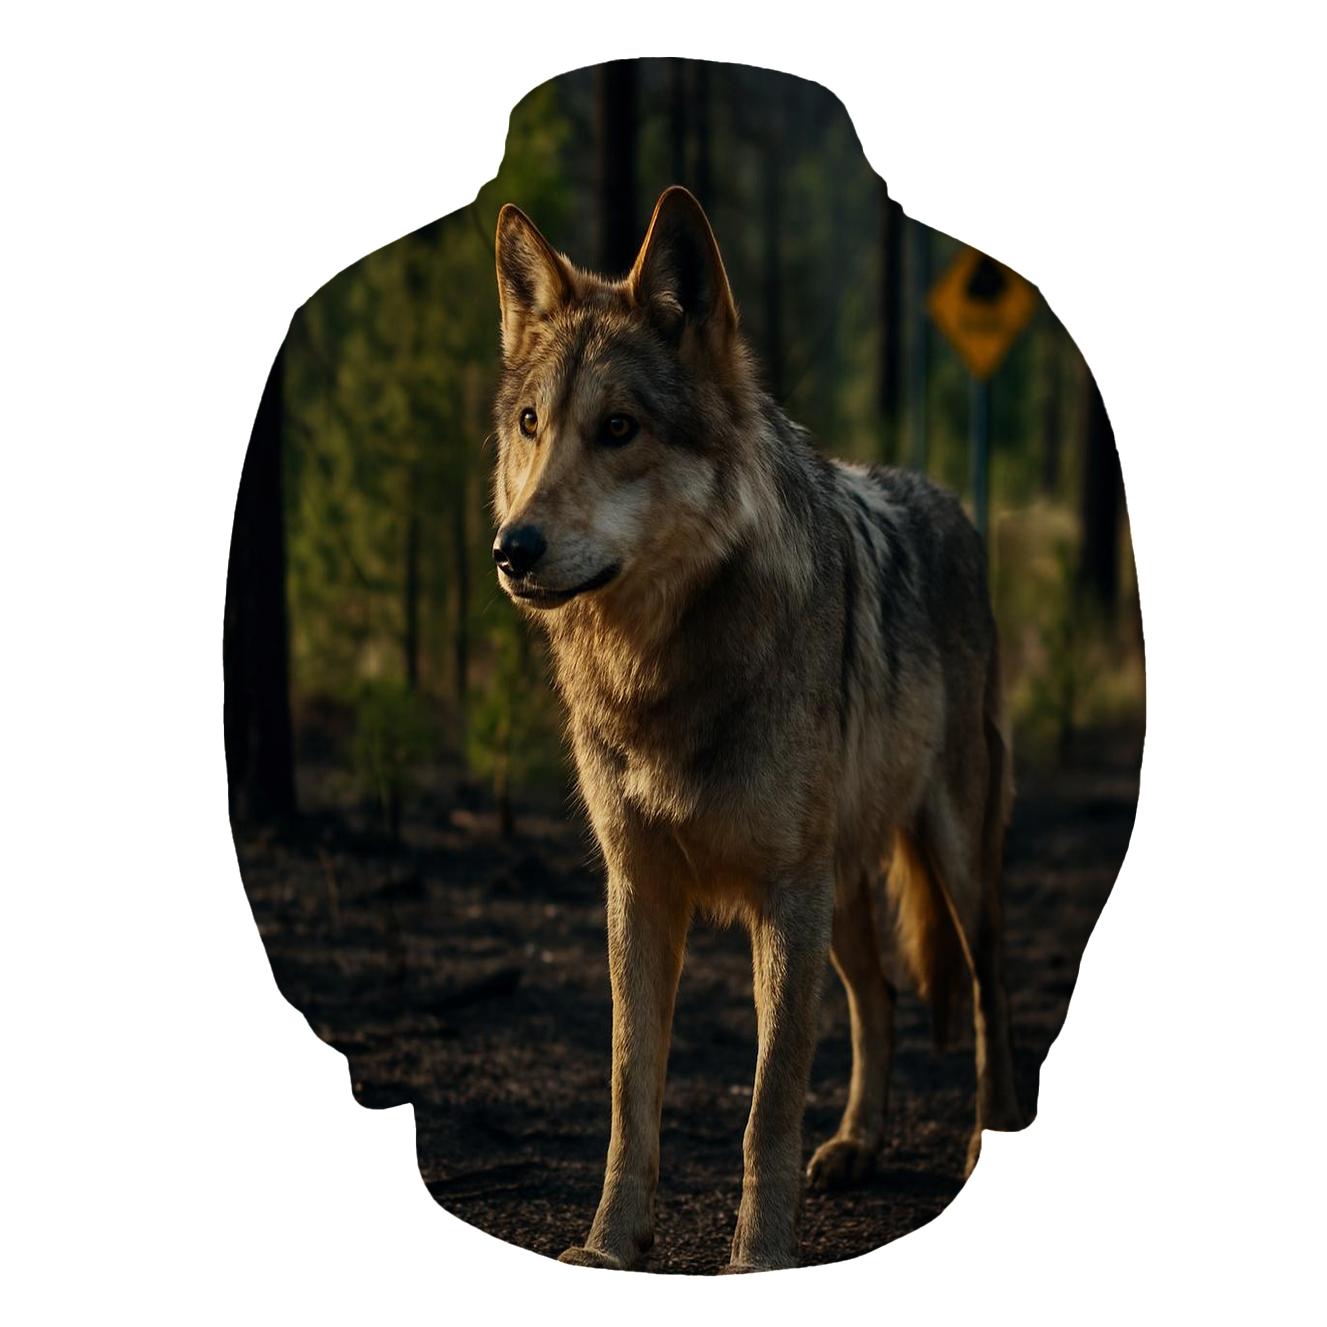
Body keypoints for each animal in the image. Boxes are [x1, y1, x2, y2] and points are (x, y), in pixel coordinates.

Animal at [489, 186, 1024, 1273]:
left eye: (619, 427)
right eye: (530, 424)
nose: (510, 549)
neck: (662, 672)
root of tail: (945, 498)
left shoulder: (784, 895)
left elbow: (768, 1103)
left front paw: (758, 1257)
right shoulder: (639, 888)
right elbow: (629, 1094)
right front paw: (609, 1246)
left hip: (948, 865)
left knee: (990, 994)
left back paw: (980, 1141)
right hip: (843, 891)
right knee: (879, 999)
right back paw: (857, 1144)